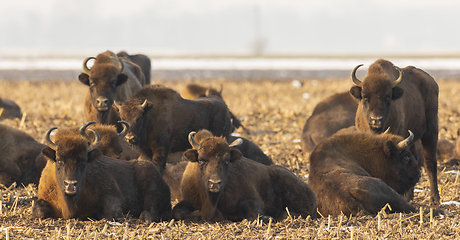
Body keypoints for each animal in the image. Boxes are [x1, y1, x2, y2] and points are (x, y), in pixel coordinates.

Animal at [31, 123, 172, 222]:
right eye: (59, 160)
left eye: (84, 161)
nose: (71, 184)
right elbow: (38, 210)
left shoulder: (113, 197)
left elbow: (111, 213)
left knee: (150, 210)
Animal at [171, 130, 318, 222]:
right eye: (201, 160)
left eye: (227, 160)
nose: (215, 183)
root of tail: (311, 191)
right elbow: (177, 211)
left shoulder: (252, 201)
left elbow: (250, 213)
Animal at [350, 59, 440, 204]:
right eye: (364, 97)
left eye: (388, 97)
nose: (376, 120)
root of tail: (431, 81)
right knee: (416, 158)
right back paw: (409, 197)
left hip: (431, 130)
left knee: (430, 161)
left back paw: (434, 199)